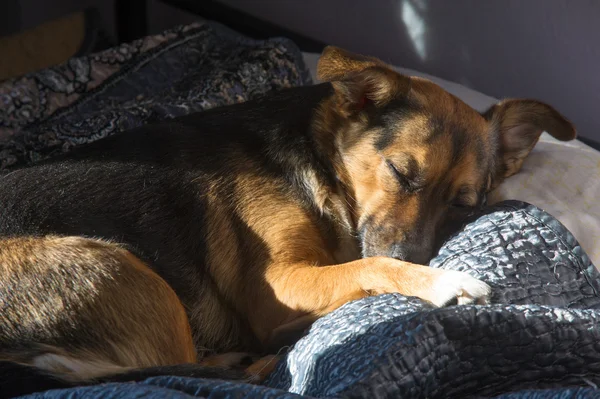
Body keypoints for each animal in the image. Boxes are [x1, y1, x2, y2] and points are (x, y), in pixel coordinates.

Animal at [0, 46, 576, 396]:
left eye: (465, 204)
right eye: (399, 172)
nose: (414, 256)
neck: (321, 164)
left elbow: (359, 266)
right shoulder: (278, 284)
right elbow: (367, 267)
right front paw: (439, 280)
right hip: (120, 269)